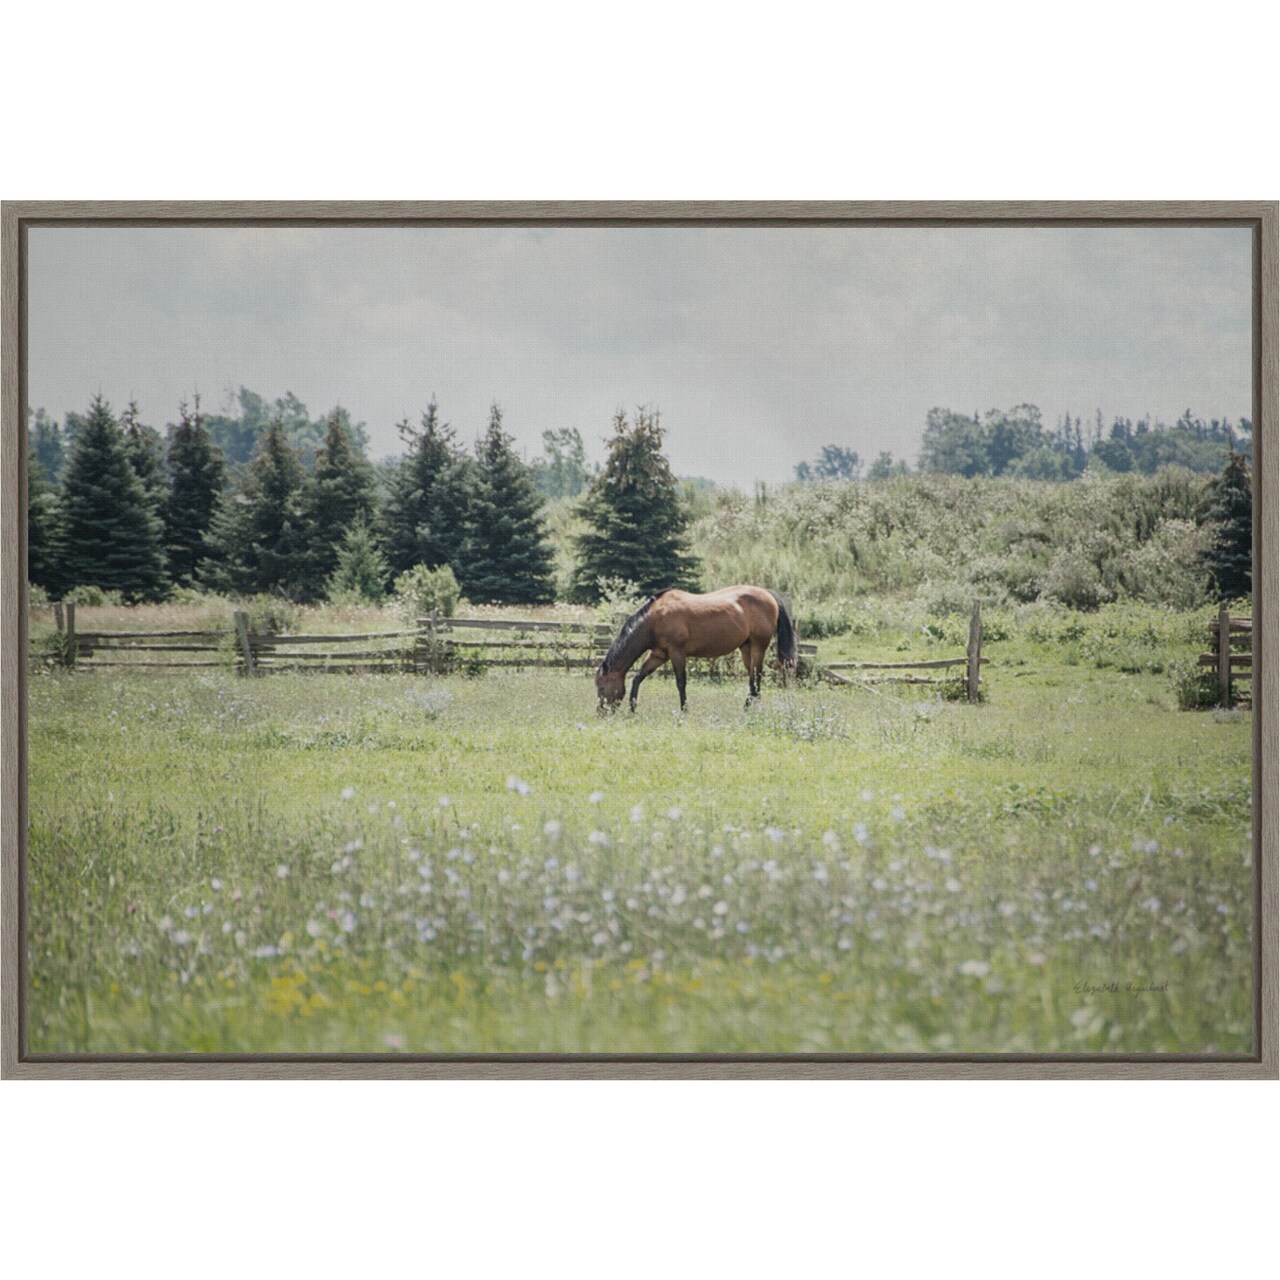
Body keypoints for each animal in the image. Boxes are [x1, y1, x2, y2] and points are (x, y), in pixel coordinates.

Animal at [595, 585, 798, 713]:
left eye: (601, 687)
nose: (601, 712)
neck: (654, 619)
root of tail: (768, 594)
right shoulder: (659, 654)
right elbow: (638, 678)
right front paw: (633, 708)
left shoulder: (677, 653)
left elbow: (680, 683)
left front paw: (684, 711)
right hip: (746, 648)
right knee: (753, 680)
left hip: (758, 646)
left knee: (756, 679)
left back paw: (748, 710)